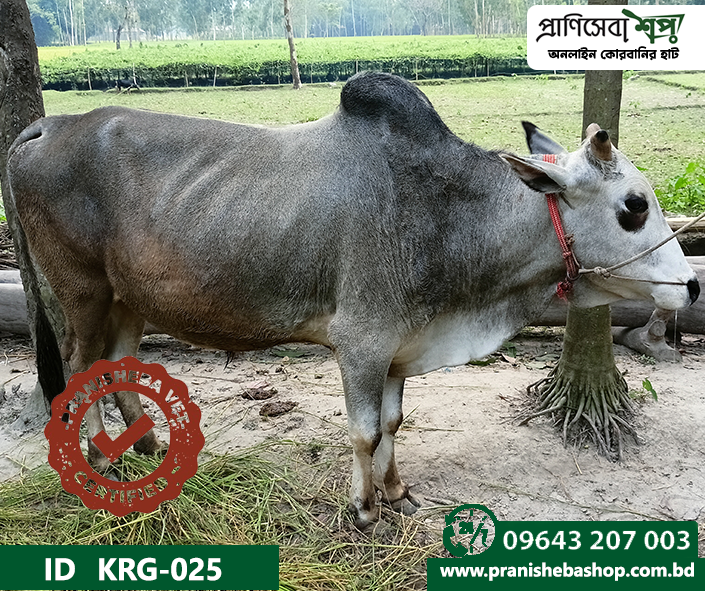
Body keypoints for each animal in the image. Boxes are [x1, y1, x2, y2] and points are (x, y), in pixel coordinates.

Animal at [7, 72, 699, 529]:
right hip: (81, 294)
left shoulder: (398, 350)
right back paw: (100, 460)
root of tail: (45, 127)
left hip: (126, 299)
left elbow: (392, 424)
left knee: (117, 365)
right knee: (79, 370)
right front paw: (364, 508)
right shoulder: (362, 344)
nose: (690, 285)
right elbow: (365, 431)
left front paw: (397, 493)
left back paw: (145, 445)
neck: (446, 214)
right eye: (633, 207)